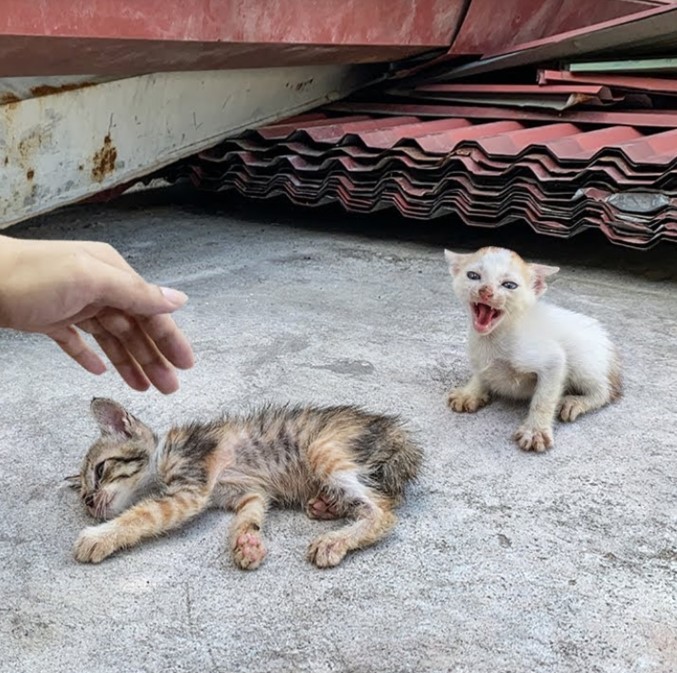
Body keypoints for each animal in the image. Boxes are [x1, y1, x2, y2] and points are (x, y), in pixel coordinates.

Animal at [66, 396, 420, 568]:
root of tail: (396, 432)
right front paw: (246, 541)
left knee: (382, 510)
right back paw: (325, 505)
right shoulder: (249, 493)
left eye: (100, 470)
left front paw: (99, 537)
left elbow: (142, 515)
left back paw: (334, 542)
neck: (162, 454)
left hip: (325, 449)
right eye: (82, 492)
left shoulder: (192, 487)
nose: (89, 502)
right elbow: (250, 514)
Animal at [440, 247, 620, 452]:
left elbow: (544, 398)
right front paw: (471, 392)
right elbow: (480, 373)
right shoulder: (479, 357)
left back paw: (575, 402)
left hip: (584, 361)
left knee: (606, 391)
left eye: (509, 285)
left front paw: (535, 431)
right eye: (473, 275)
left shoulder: (553, 360)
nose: (485, 291)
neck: (493, 338)